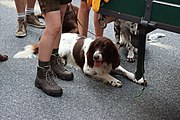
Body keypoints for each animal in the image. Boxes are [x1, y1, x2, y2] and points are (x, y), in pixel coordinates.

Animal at [14, 32, 146, 87]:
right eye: (95, 46)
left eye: (105, 47)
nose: (95, 57)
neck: (103, 62)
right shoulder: (88, 69)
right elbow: (104, 74)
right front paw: (114, 80)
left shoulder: (113, 63)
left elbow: (126, 72)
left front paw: (138, 79)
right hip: (63, 49)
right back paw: (62, 62)